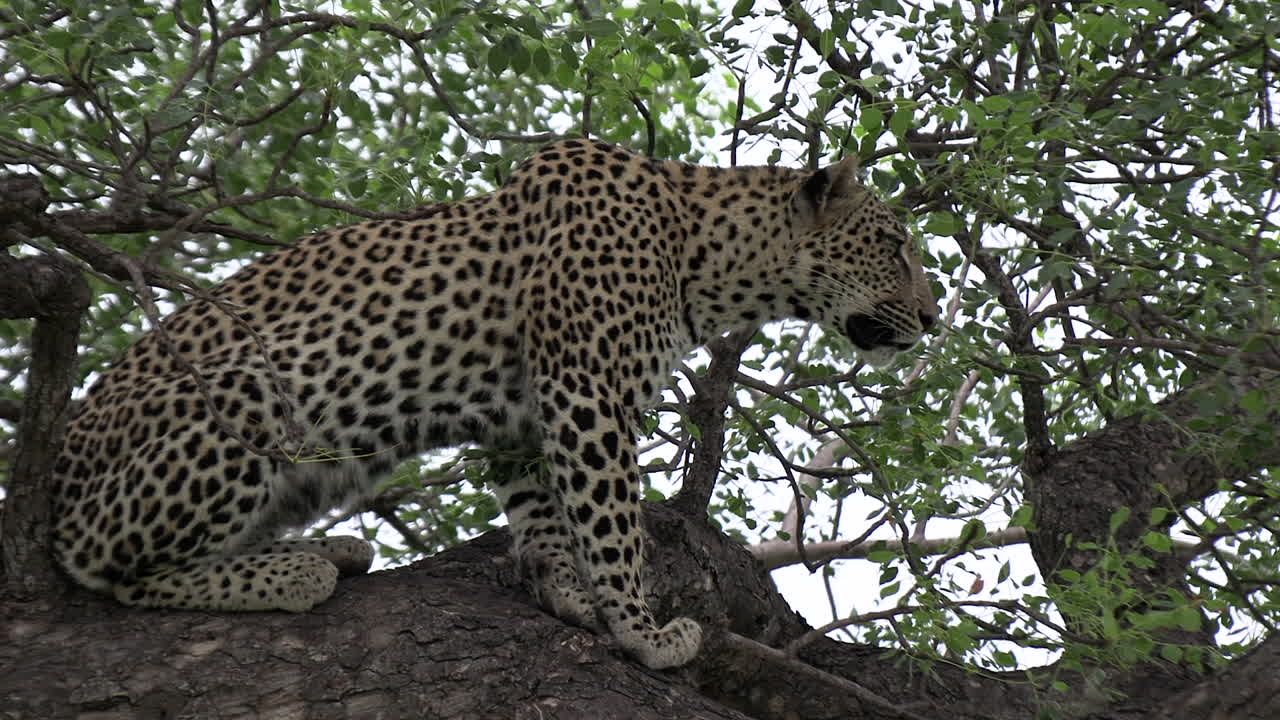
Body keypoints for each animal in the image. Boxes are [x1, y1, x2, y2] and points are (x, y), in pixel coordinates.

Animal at [50, 139, 939, 670]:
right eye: (894, 246)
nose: (935, 320)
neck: (707, 257)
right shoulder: (587, 387)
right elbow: (613, 522)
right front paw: (643, 630)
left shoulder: (523, 415)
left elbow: (544, 511)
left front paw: (568, 591)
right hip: (248, 389)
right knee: (101, 565)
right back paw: (296, 570)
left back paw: (328, 548)